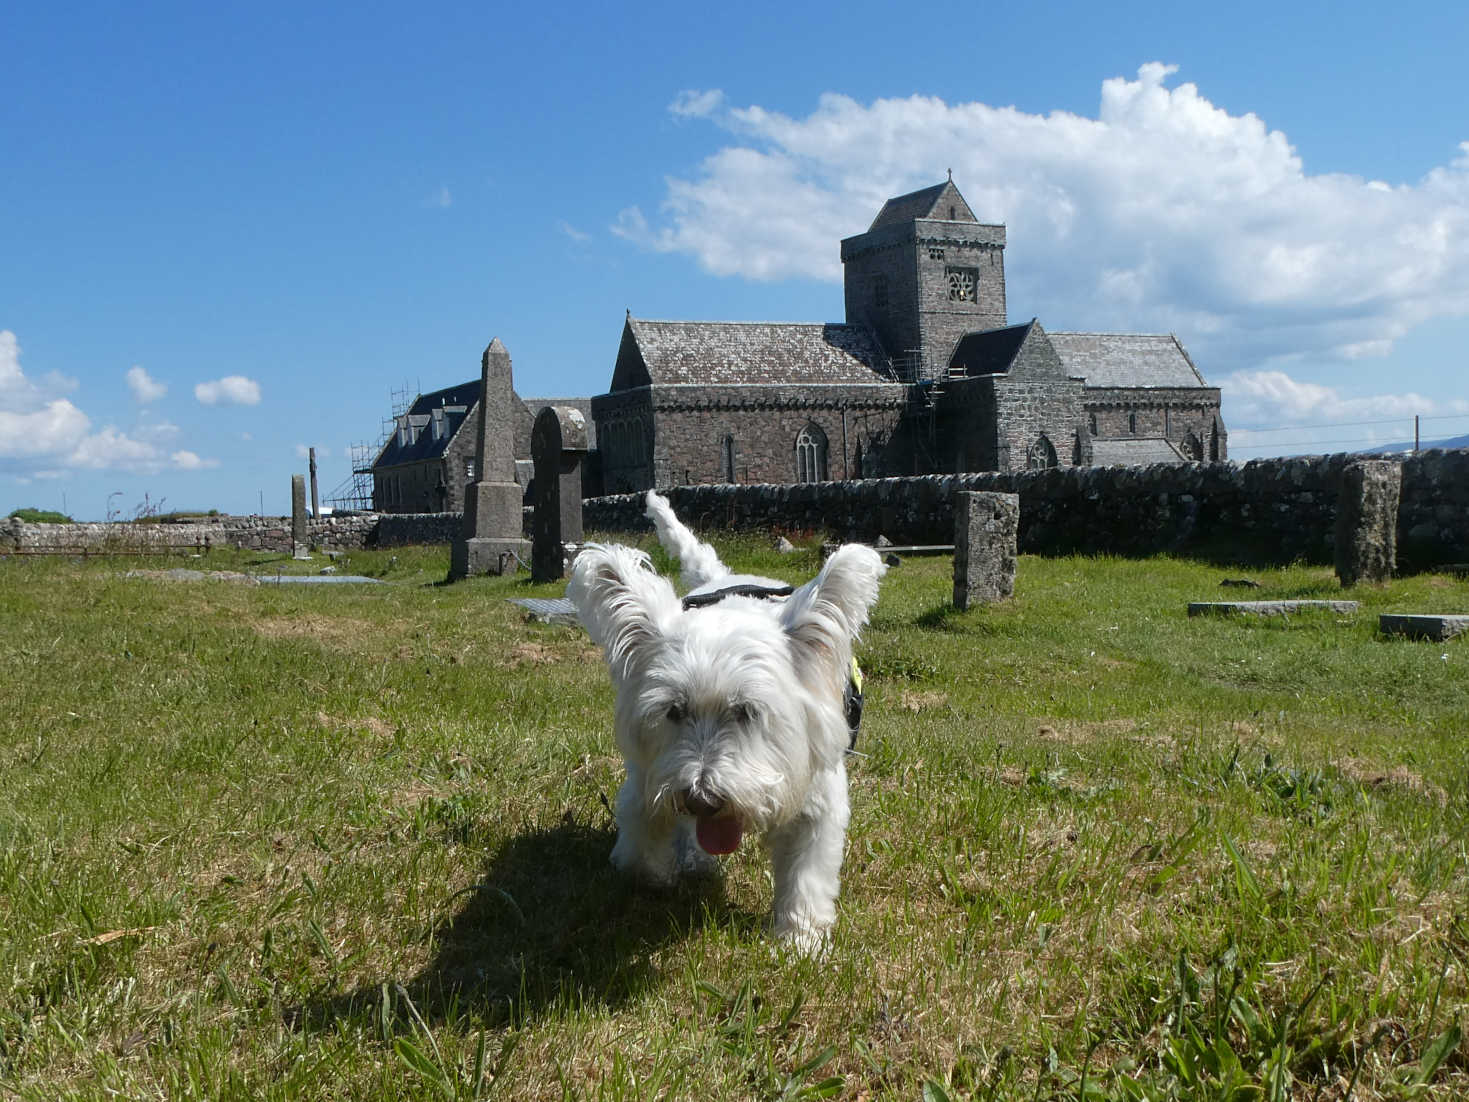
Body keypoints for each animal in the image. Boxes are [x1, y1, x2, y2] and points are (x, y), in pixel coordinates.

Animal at [564, 490, 881, 952]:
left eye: (747, 710)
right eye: (673, 711)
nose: (702, 798)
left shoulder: (818, 802)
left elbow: (805, 877)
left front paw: (799, 943)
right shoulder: (649, 778)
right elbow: (642, 838)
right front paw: (654, 872)